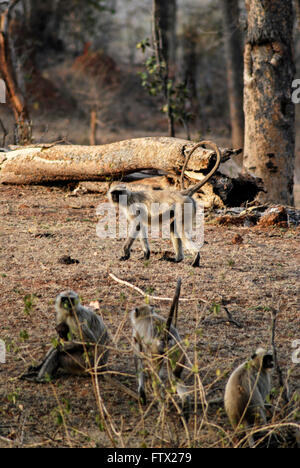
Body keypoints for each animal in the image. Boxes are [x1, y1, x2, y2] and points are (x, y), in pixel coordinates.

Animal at [129, 278, 190, 420]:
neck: (146, 316)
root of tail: (166, 334)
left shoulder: (136, 335)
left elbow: (138, 359)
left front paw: (142, 394)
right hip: (178, 349)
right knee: (175, 376)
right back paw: (185, 407)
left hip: (157, 350)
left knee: (156, 375)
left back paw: (161, 406)